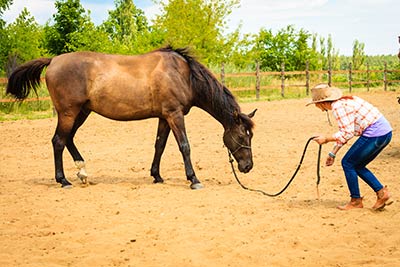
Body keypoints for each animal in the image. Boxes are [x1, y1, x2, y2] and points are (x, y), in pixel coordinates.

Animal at [6, 47, 256, 191]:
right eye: (243, 135)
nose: (248, 167)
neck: (183, 75)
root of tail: (54, 61)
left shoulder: (165, 117)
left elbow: (159, 146)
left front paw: (157, 176)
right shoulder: (174, 114)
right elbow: (184, 146)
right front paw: (194, 179)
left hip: (82, 112)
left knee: (68, 139)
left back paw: (82, 173)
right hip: (69, 112)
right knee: (58, 141)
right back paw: (63, 180)